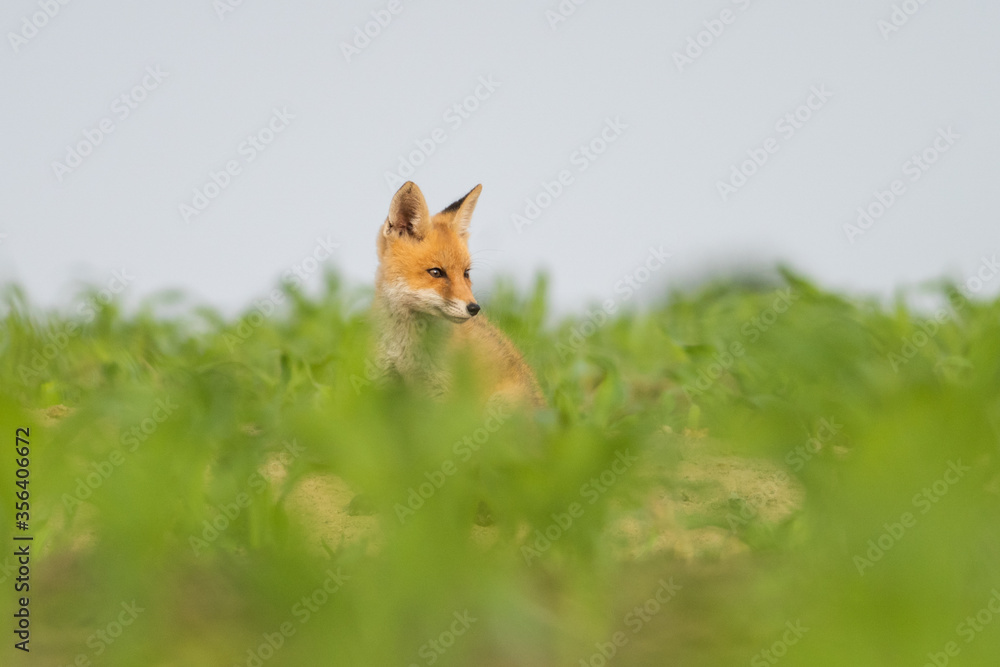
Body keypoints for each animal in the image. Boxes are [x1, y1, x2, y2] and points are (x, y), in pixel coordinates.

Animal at [373, 181, 544, 408]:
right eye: (436, 272)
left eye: (466, 273)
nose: (474, 308)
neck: (408, 352)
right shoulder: (385, 384)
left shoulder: (445, 398)